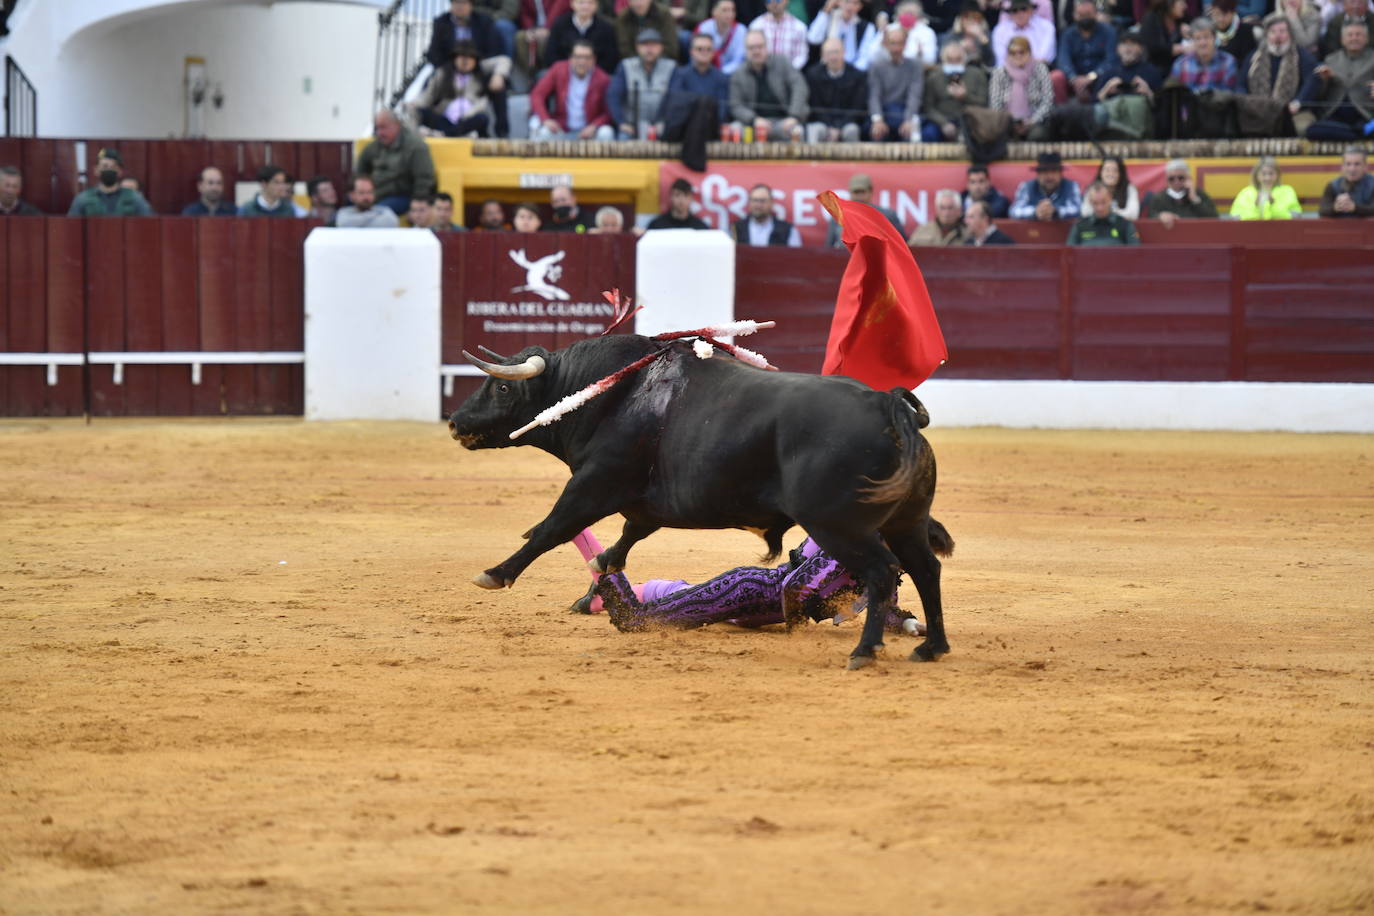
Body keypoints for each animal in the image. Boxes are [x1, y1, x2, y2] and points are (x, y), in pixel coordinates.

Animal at [445, 335, 950, 667]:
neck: (615, 395)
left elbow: (552, 528)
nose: (454, 421)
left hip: (838, 525)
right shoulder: (642, 504)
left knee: (883, 571)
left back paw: (865, 651)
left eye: (502, 387)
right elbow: (621, 543)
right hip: (904, 522)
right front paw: (598, 579)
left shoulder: (594, 484)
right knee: (925, 569)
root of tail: (886, 404)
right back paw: (931, 647)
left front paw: (494, 574)